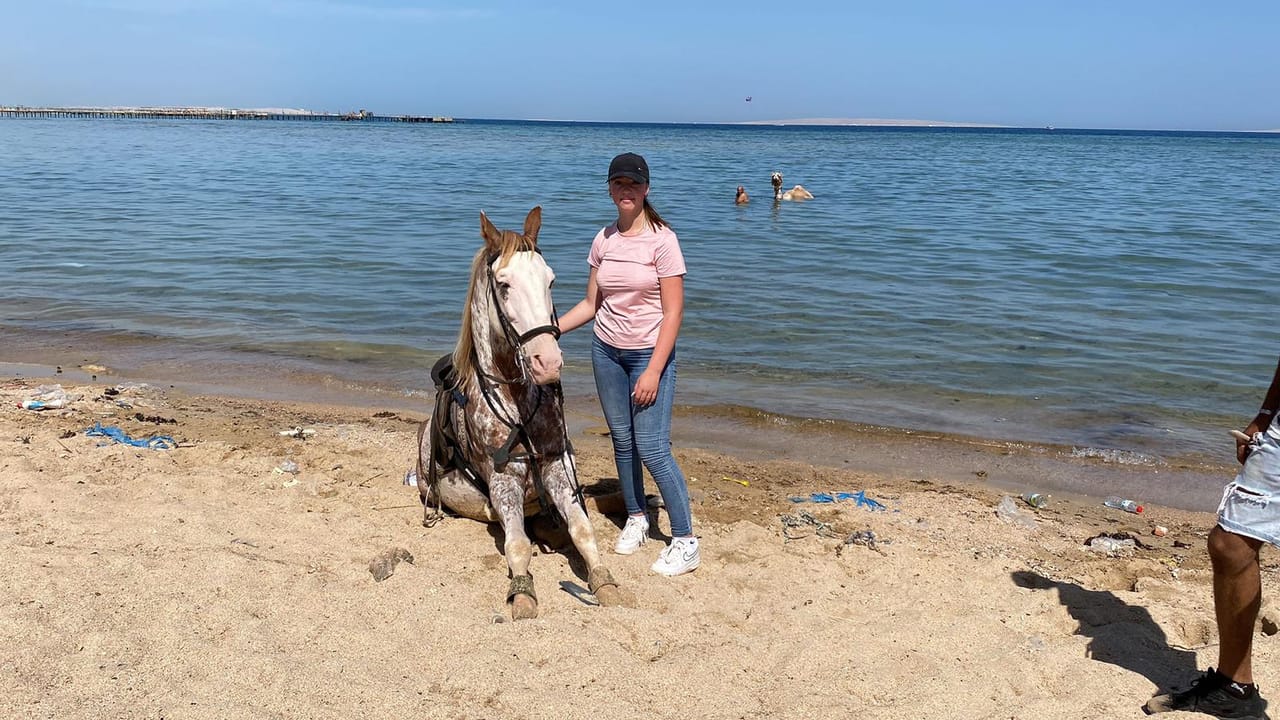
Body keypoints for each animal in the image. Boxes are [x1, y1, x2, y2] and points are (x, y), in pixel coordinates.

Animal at [414, 206, 626, 620]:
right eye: (504, 284)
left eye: (550, 280)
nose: (549, 362)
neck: (516, 400)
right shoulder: (504, 481)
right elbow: (518, 544)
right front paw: (523, 593)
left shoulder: (558, 466)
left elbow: (583, 529)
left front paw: (605, 582)